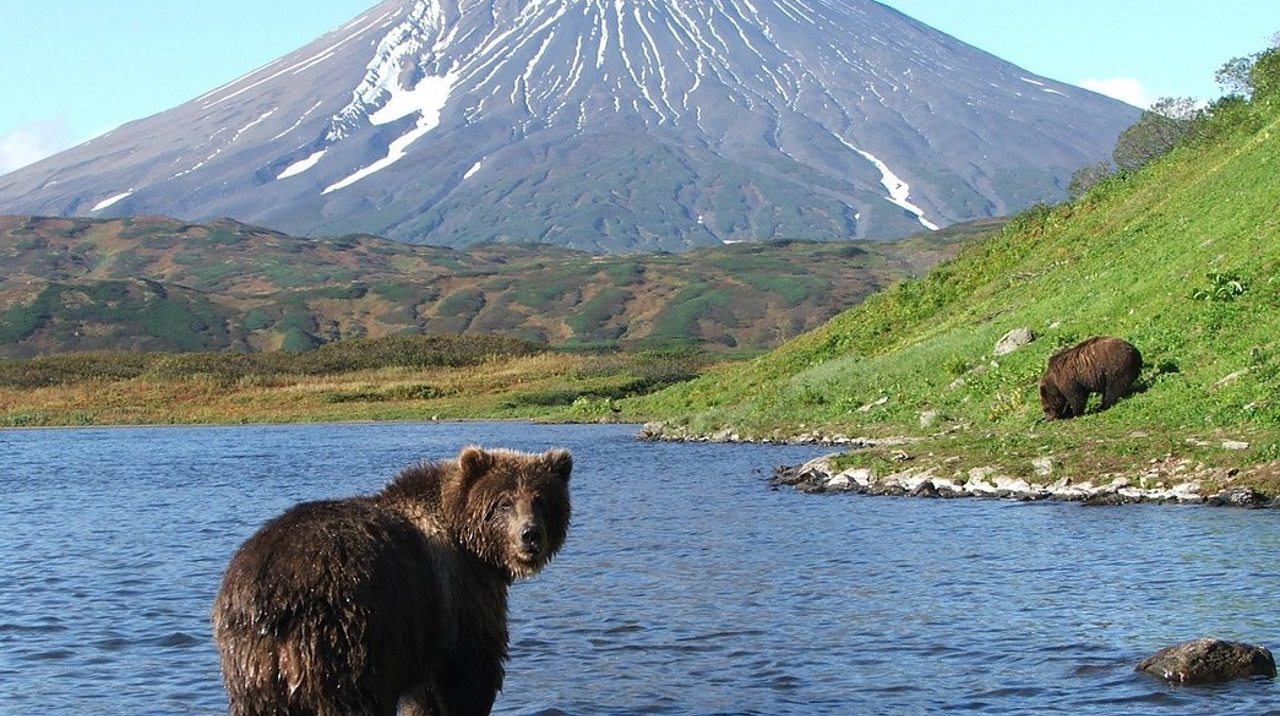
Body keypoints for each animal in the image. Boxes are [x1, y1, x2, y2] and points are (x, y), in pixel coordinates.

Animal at [212, 445, 573, 712]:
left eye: (542, 499)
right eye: (504, 502)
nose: (530, 535)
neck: (470, 544)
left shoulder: (425, 629)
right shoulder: (459, 596)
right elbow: (469, 673)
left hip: (251, 668)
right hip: (343, 641)